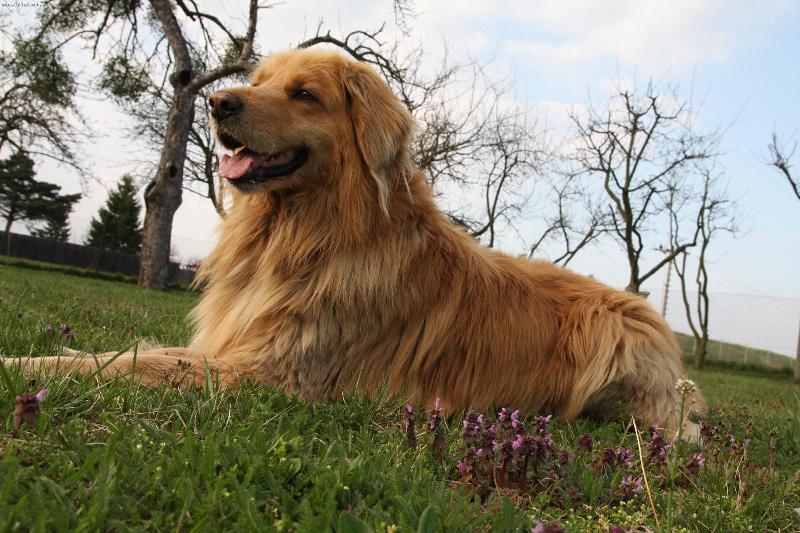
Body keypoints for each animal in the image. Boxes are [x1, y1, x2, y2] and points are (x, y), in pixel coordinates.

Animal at [1, 48, 700, 436]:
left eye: (304, 94)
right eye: (260, 80)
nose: (219, 102)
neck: (307, 232)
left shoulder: (273, 370)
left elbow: (128, 364)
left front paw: (24, 366)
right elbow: (125, 353)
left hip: (613, 338)